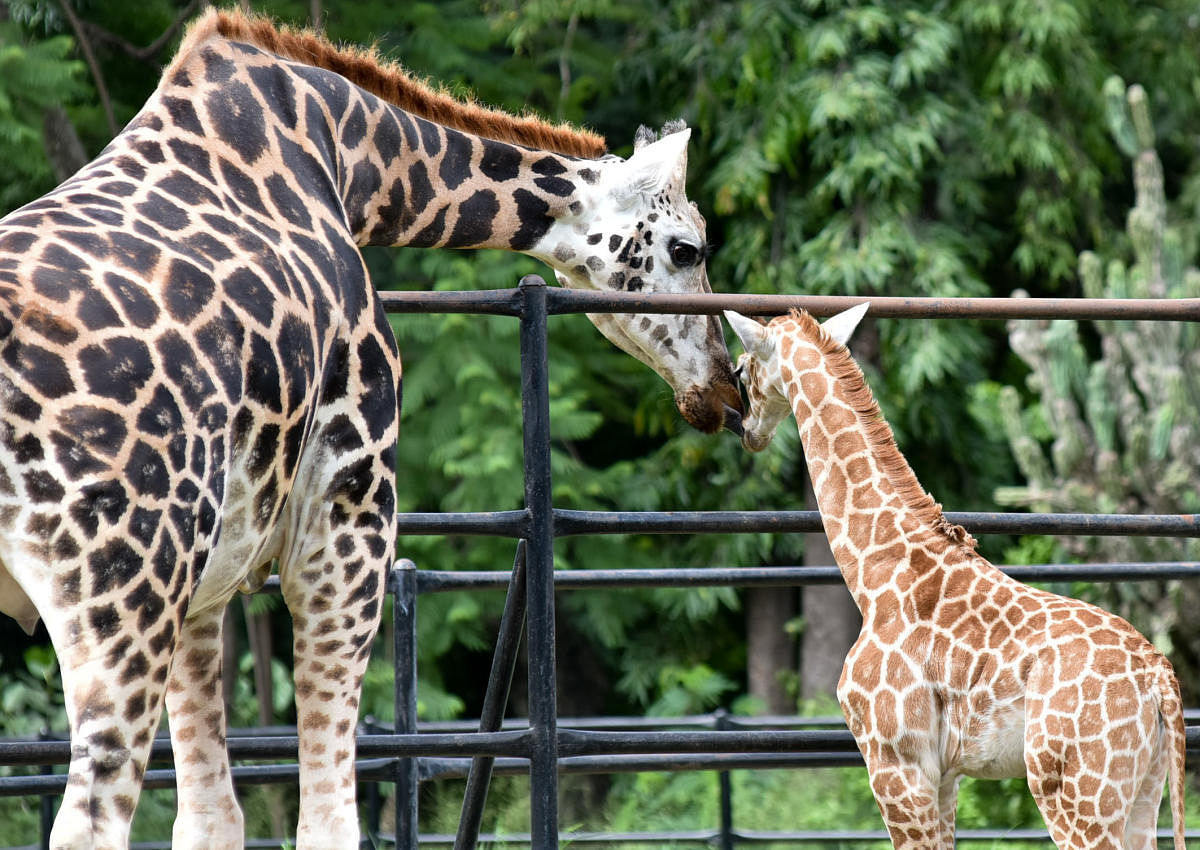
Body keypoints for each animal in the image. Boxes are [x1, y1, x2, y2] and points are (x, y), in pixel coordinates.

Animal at [0, 8, 739, 850]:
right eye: (687, 248)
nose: (724, 388)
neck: (351, 156)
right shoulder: (345, 514)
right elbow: (328, 818)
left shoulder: (210, 580)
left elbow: (212, 815)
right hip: (127, 585)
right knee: (92, 816)